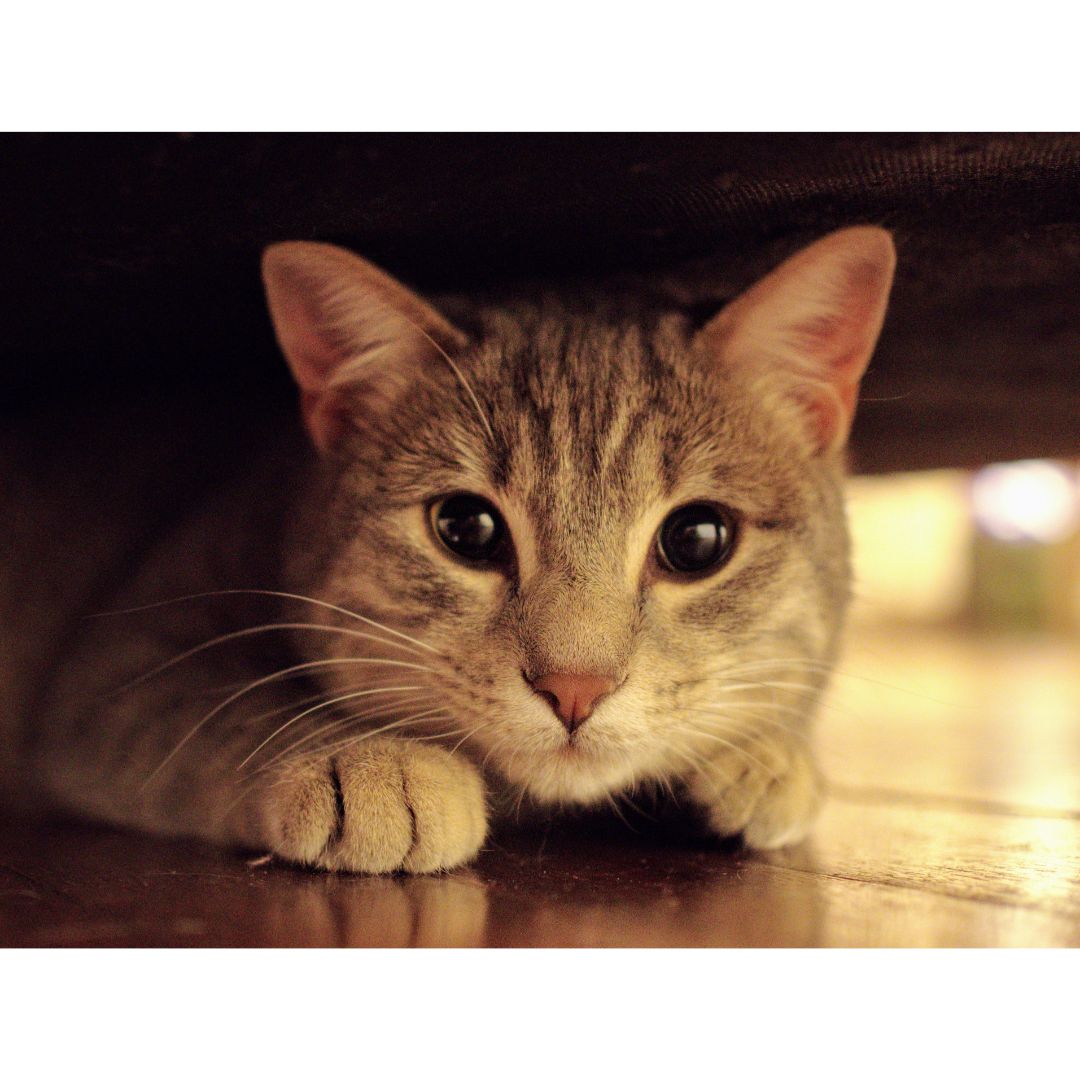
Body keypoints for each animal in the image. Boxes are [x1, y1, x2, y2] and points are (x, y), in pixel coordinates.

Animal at [0, 225, 894, 868]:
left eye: (698, 540)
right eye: (466, 529)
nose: (575, 689)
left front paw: (762, 756)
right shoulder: (115, 671)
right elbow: (229, 709)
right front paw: (369, 764)